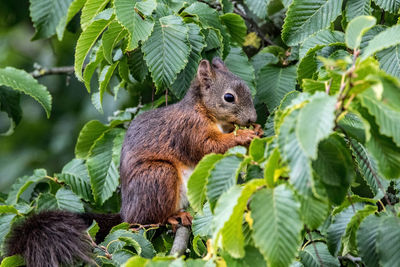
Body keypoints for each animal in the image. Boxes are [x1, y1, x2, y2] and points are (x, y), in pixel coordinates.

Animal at [6, 57, 264, 266]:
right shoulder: (188, 130)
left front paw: (256, 130)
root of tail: (126, 212)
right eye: (229, 97)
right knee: (146, 220)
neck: (204, 111)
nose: (252, 118)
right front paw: (243, 135)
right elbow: (208, 147)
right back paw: (173, 216)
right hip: (158, 175)